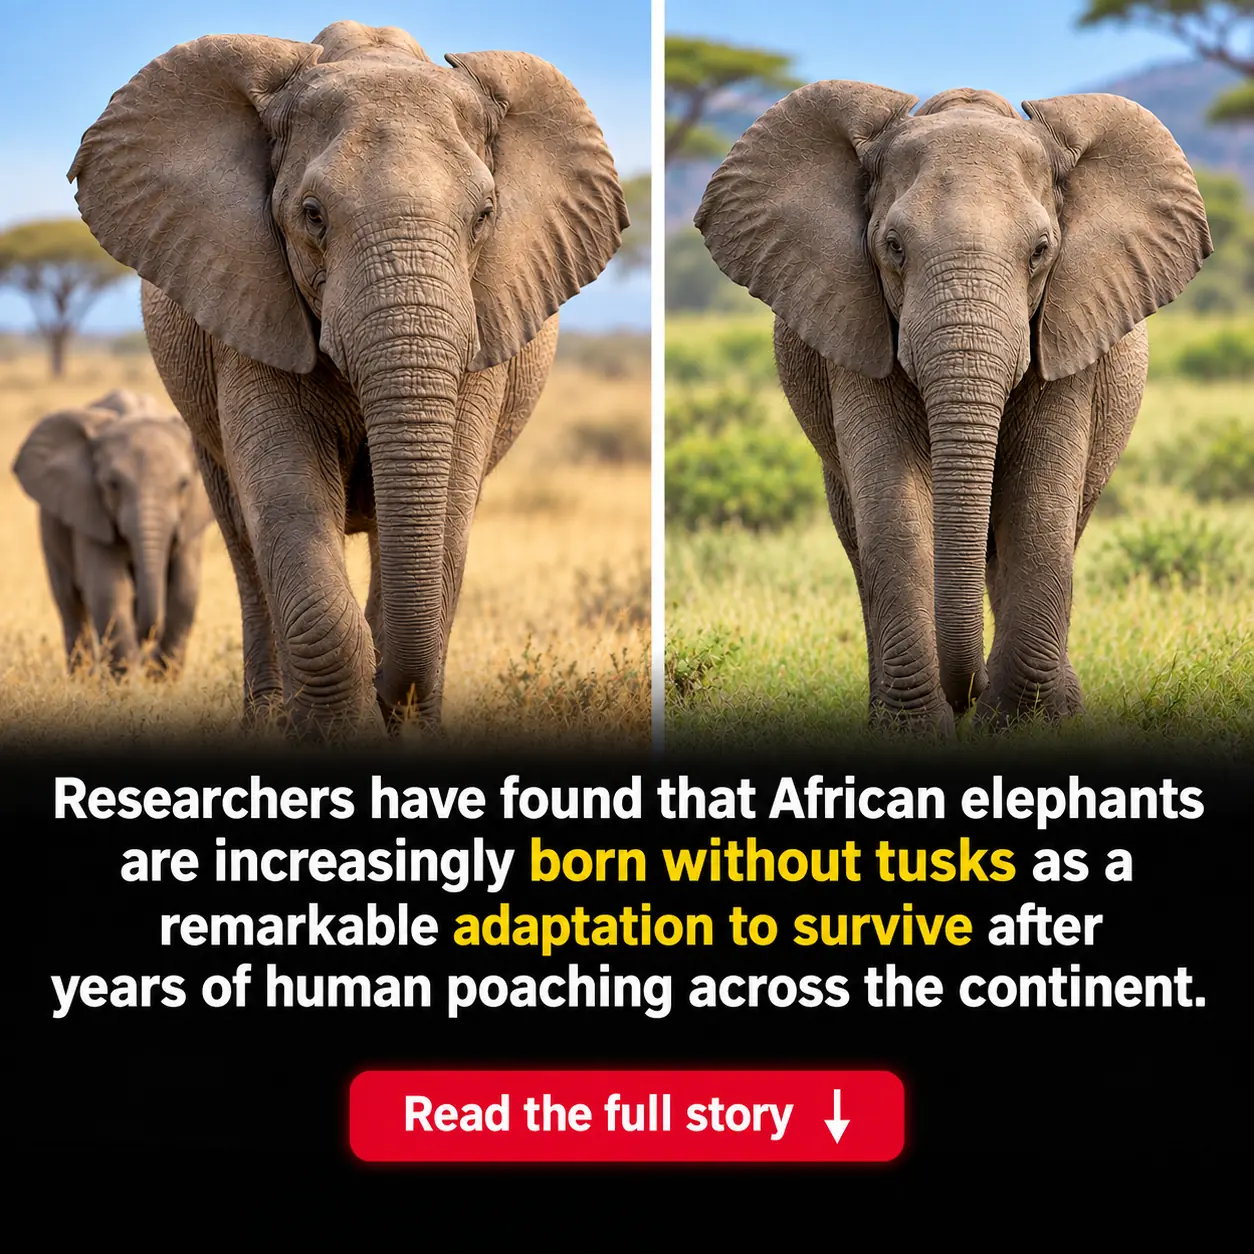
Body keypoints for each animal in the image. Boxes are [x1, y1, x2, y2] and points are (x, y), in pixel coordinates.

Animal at [13, 389, 214, 677]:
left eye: (184, 484)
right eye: (113, 484)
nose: (148, 636)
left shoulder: (191, 519)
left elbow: (185, 589)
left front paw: (160, 682)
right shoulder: (90, 508)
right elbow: (108, 589)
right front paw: (128, 683)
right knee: (70, 603)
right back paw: (82, 680)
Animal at [67, 20, 628, 739]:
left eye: (484, 215)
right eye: (313, 215)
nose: (392, 693)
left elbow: (447, 508)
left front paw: (403, 722)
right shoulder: (249, 300)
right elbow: (287, 496)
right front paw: (333, 731)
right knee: (244, 542)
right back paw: (270, 719)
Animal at [695, 84, 1212, 733]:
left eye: (1041, 251)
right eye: (893, 248)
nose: (965, 694)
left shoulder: (1069, 328)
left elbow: (1039, 505)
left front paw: (1024, 724)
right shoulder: (855, 321)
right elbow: (892, 510)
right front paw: (913, 730)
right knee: (857, 534)